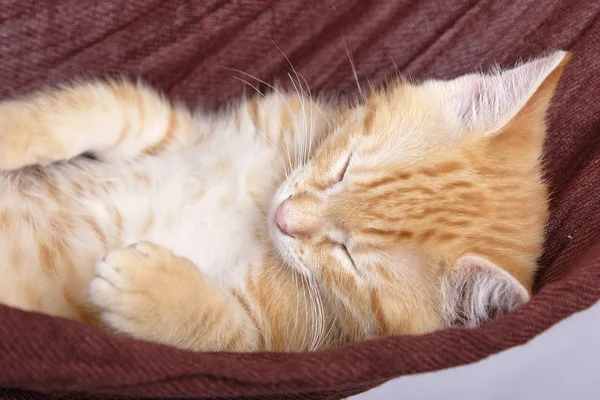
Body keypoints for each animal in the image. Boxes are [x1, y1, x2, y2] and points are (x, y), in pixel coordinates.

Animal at [0, 51, 568, 352]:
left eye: (349, 257)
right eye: (343, 168)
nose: (284, 216)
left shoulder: (282, 342)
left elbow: (230, 334)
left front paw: (150, 288)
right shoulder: (189, 132)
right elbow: (110, 110)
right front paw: (11, 132)